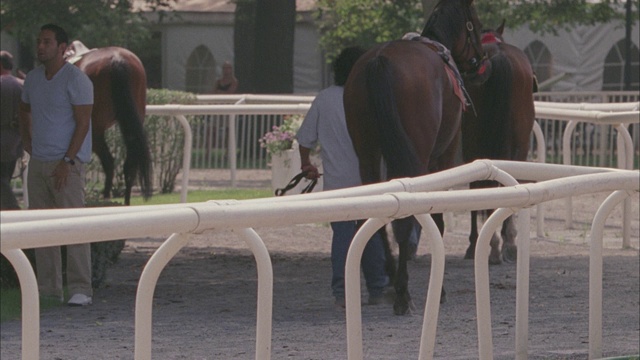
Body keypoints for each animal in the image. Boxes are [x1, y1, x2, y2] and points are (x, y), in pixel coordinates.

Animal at [66, 41, 152, 205]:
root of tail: (117, 60)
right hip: (132, 122)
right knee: (129, 164)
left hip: (94, 129)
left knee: (109, 161)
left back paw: (105, 195)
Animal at [344, 0, 490, 316]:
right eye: (475, 22)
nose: (481, 60)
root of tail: (380, 60)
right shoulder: (444, 155)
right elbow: (436, 220)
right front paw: (440, 290)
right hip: (417, 157)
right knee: (405, 219)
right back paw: (402, 293)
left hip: (367, 152)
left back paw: (389, 280)